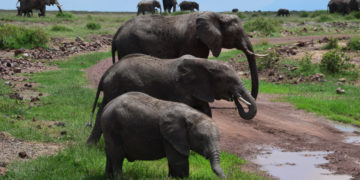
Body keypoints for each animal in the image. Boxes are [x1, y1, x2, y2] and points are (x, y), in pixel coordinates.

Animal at [86, 53, 258, 145]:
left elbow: (206, 112)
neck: (205, 63)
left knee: (102, 109)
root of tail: (107, 72)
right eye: (228, 81)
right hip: (116, 86)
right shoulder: (179, 88)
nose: (234, 97)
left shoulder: (199, 89)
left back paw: (91, 147)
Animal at [109, 11, 262, 100]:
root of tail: (117, 32)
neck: (216, 15)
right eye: (237, 34)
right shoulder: (193, 40)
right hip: (129, 44)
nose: (252, 96)